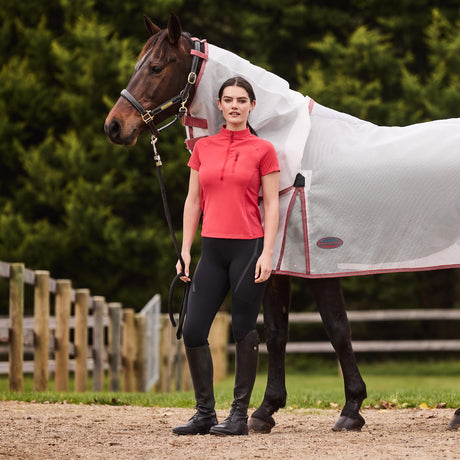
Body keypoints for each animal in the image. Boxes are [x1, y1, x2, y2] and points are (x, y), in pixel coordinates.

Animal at [104, 13, 460, 432]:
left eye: (157, 67)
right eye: (138, 64)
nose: (114, 126)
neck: (290, 153)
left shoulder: (317, 262)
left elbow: (337, 329)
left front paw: (351, 409)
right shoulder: (273, 263)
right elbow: (276, 331)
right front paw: (265, 411)